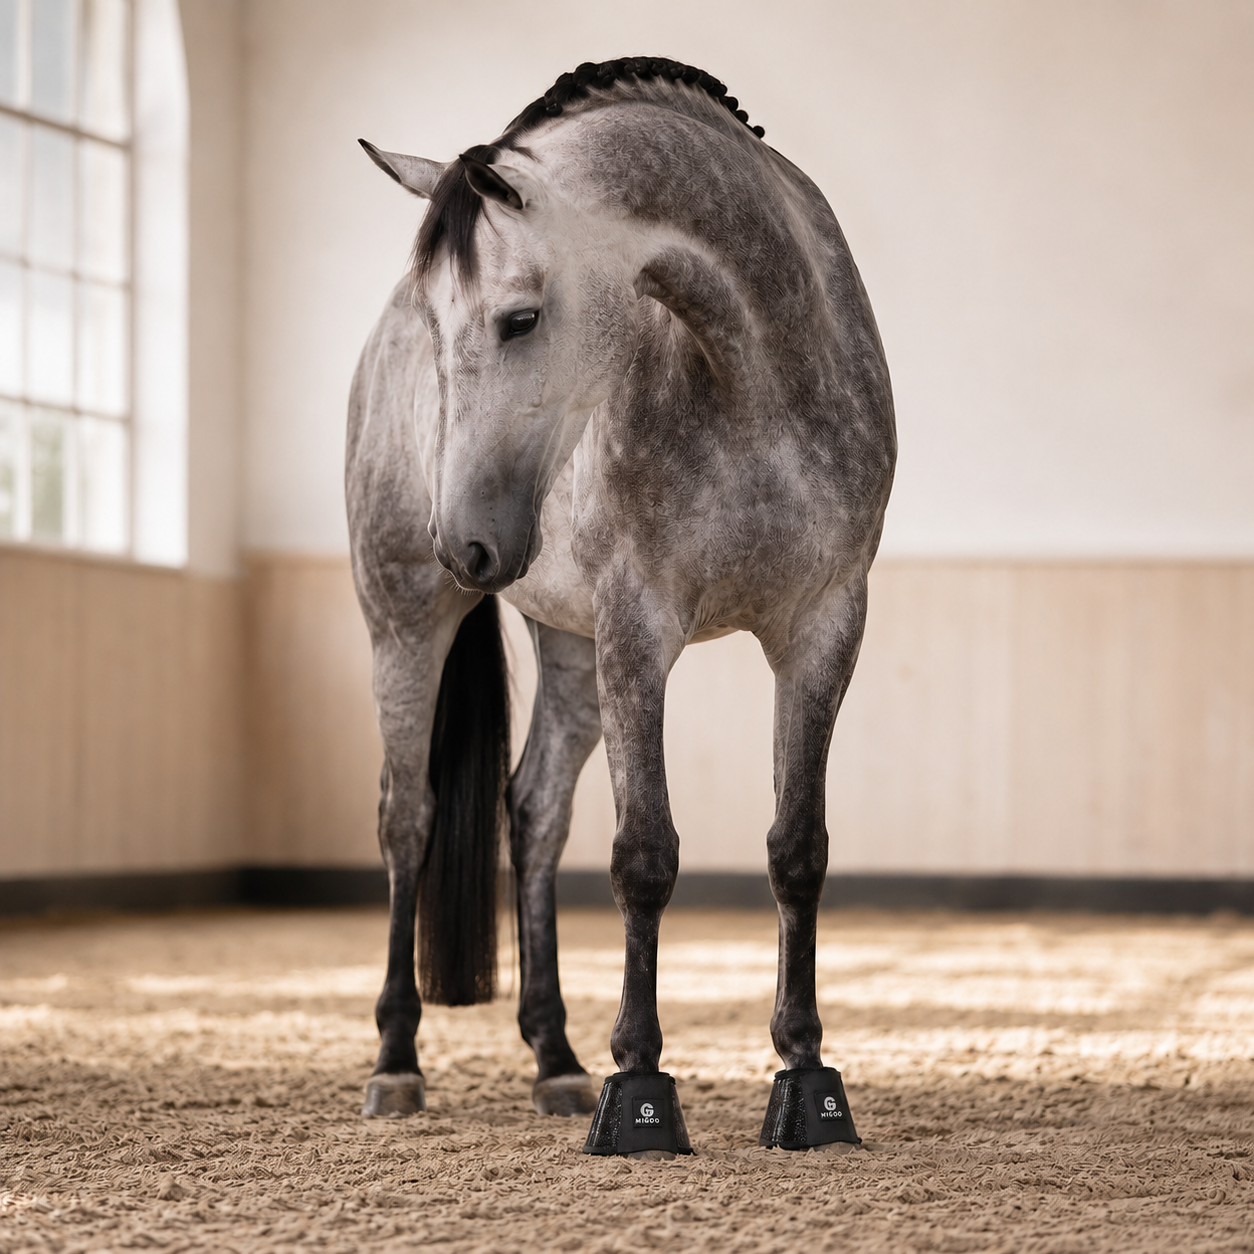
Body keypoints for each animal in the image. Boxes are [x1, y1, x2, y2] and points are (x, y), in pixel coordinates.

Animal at [347, 56, 895, 1153]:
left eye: (519, 317)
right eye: (438, 327)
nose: (464, 541)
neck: (754, 373)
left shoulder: (823, 627)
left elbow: (798, 848)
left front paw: (805, 1075)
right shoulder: (640, 630)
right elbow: (644, 853)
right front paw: (639, 1085)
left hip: (568, 647)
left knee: (534, 815)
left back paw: (553, 1055)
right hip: (406, 623)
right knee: (407, 817)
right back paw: (397, 1060)